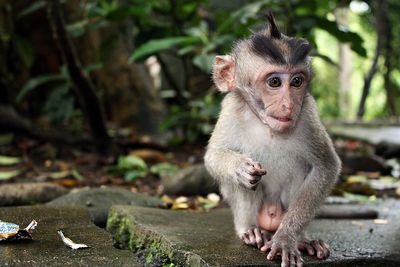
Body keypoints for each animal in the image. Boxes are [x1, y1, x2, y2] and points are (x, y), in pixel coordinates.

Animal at [205, 13, 342, 267]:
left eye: (297, 81)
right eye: (275, 82)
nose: (288, 105)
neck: (266, 125)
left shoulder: (307, 113)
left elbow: (326, 166)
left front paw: (287, 239)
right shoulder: (231, 108)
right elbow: (213, 156)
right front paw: (240, 167)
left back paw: (303, 240)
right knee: (245, 186)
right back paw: (250, 231)